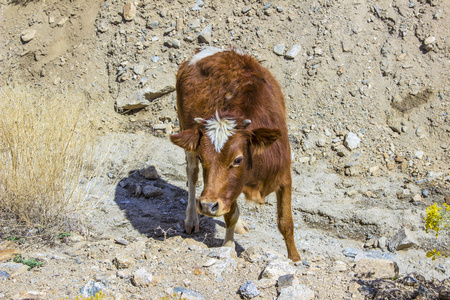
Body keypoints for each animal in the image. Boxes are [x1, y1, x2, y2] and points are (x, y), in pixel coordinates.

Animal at [171, 46, 300, 260]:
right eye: (202, 157)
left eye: (238, 159)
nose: (207, 206)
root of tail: (207, 51)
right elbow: (230, 215)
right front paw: (228, 248)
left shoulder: (284, 176)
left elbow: (286, 222)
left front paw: (295, 259)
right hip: (185, 127)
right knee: (192, 176)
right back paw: (191, 219)